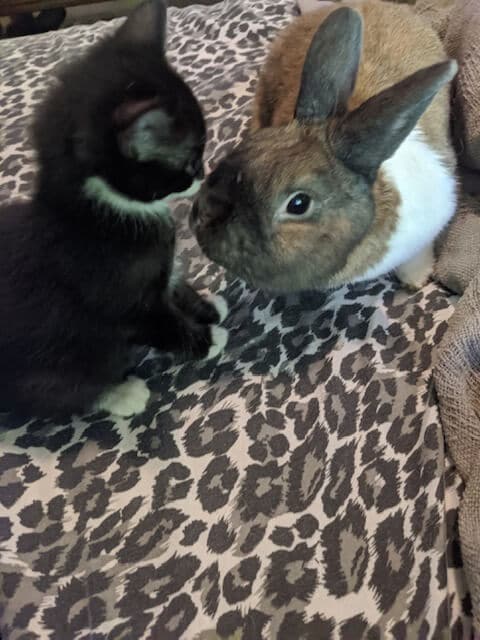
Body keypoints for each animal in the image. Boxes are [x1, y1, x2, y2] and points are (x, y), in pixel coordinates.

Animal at [0, 0, 228, 418]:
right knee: (55, 393)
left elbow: (173, 286)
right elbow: (164, 326)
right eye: (190, 160)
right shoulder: (123, 303)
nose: (203, 174)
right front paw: (205, 339)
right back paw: (121, 393)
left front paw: (205, 307)